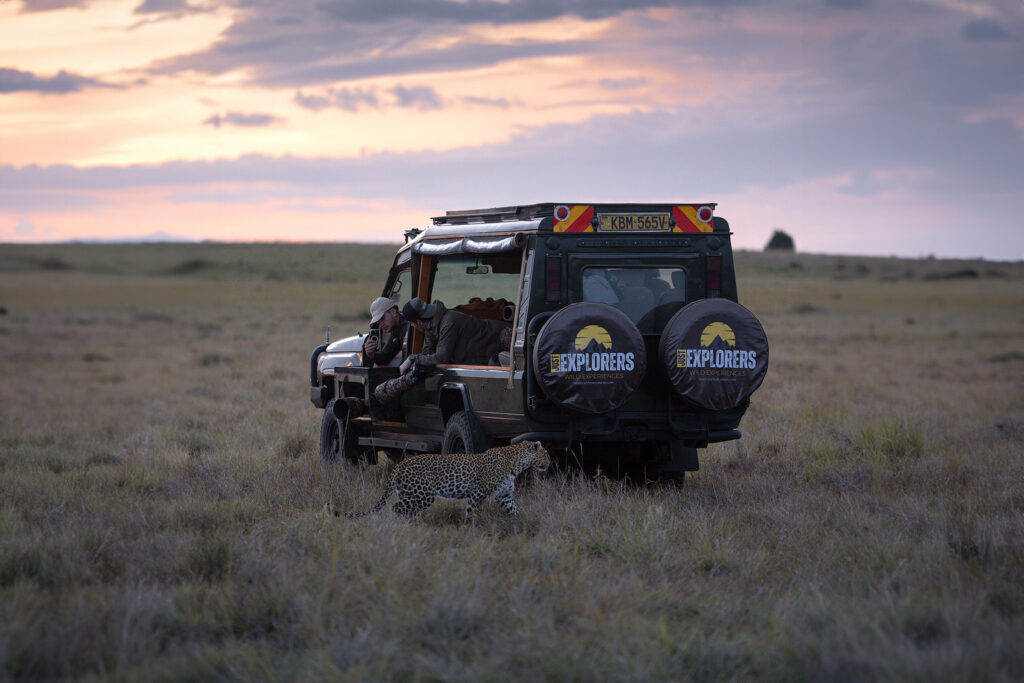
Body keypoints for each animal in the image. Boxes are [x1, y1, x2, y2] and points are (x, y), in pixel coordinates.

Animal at [345, 440, 550, 522]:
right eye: (546, 453)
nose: (550, 463)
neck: (516, 464)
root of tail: (400, 465)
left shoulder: (505, 496)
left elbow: (514, 510)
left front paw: (521, 523)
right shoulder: (478, 493)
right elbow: (471, 513)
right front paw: (470, 530)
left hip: (410, 493)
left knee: (405, 510)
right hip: (424, 494)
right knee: (395, 508)